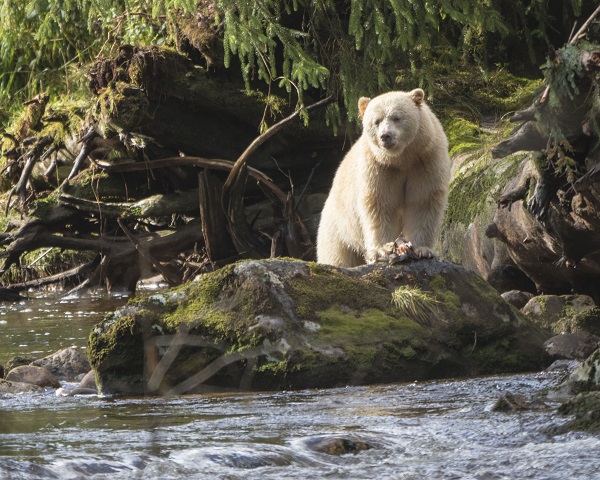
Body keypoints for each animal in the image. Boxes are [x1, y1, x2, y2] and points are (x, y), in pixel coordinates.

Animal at [318, 89, 450, 266]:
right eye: (376, 121)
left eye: (397, 117)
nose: (385, 136)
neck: (401, 159)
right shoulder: (378, 167)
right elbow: (380, 204)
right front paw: (384, 250)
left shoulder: (425, 161)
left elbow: (423, 201)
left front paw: (422, 249)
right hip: (338, 228)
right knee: (337, 256)